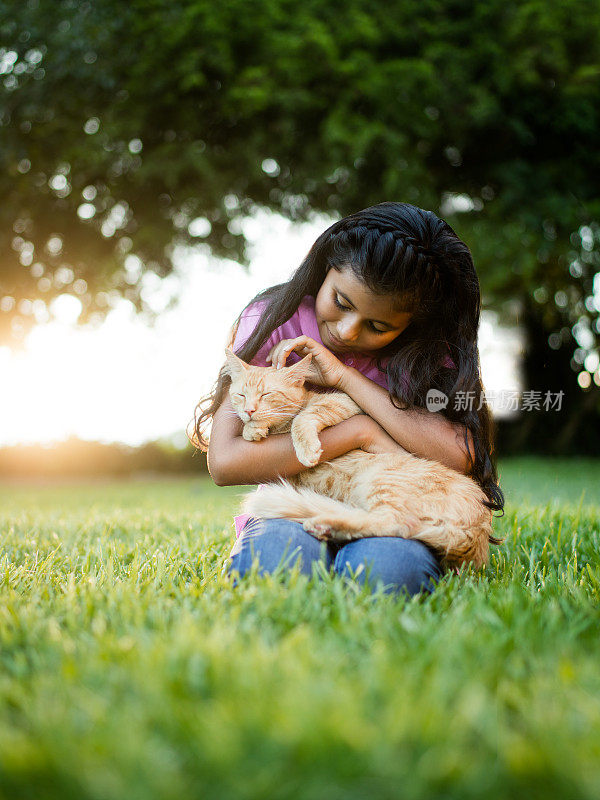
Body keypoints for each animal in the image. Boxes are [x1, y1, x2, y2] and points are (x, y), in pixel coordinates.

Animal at [225, 346, 496, 564]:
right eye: (241, 395)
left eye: (266, 394)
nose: (250, 410)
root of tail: (478, 528)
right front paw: (253, 429)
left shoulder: (347, 402)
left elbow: (304, 417)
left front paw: (306, 448)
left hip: (382, 480)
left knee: (394, 524)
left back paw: (327, 522)